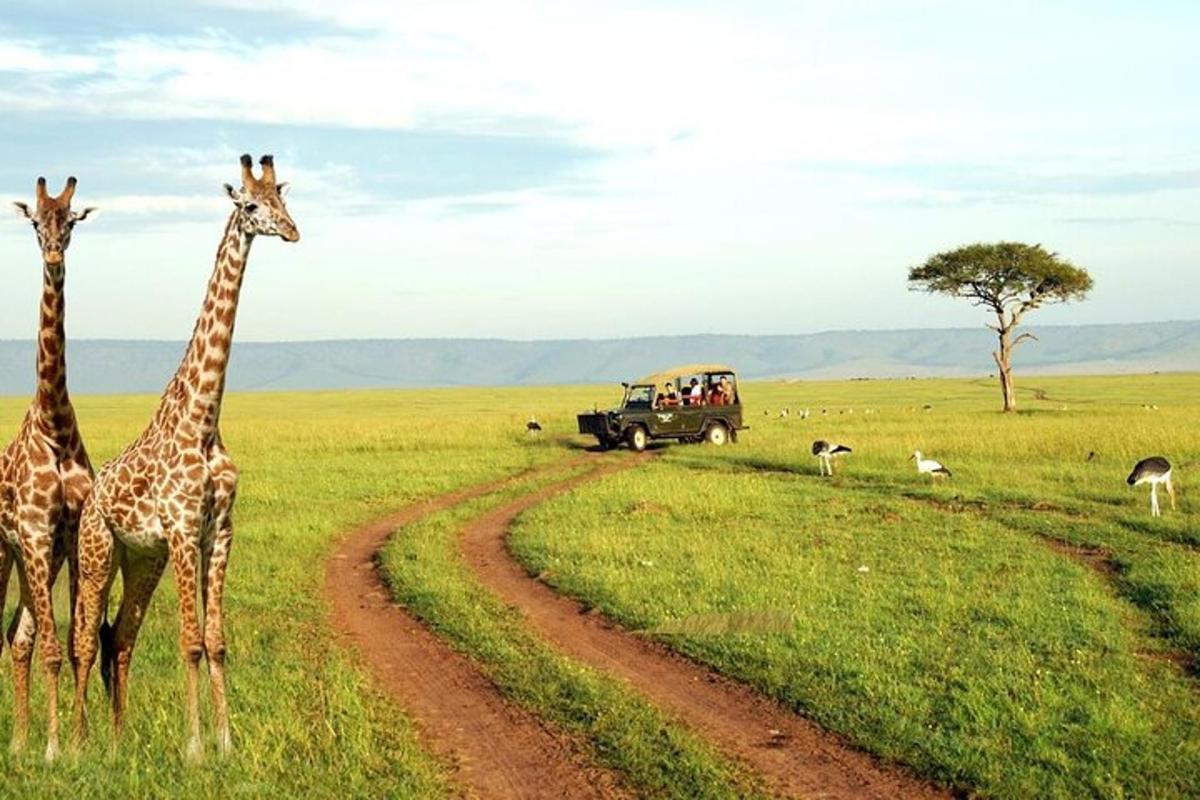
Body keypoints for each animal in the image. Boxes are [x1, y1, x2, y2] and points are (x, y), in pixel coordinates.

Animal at [70, 154, 300, 758]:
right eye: (251, 205)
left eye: (284, 200)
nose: (292, 231)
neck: (204, 421)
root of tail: (91, 494)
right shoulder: (181, 531)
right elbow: (190, 641)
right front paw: (195, 748)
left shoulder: (219, 531)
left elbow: (216, 640)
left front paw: (226, 742)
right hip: (98, 552)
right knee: (84, 637)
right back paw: (75, 743)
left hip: (140, 560)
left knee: (119, 636)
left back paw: (117, 742)